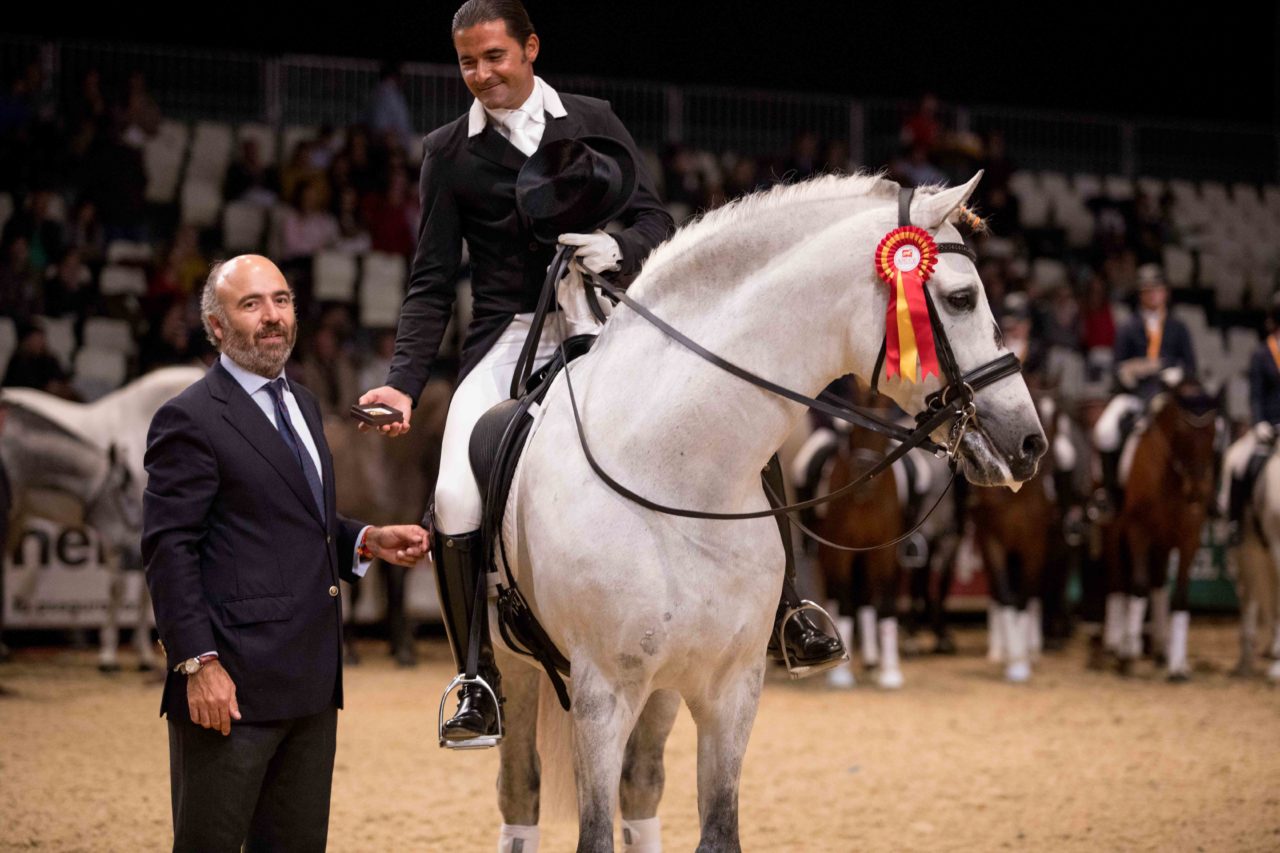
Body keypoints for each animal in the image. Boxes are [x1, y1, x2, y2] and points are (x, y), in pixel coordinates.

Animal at [488, 169, 1049, 845]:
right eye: (962, 298)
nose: (1030, 442)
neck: (675, 477)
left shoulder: (731, 689)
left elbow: (719, 829)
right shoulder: (603, 695)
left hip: (663, 689)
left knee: (640, 785)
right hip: (517, 671)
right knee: (521, 789)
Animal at [1111, 379, 1218, 676]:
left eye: (1214, 431)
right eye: (1181, 429)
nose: (1196, 491)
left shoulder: (1188, 539)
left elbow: (1179, 598)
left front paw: (1178, 665)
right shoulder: (1138, 531)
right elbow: (1138, 587)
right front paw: (1129, 654)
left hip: (1163, 541)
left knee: (1158, 583)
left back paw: (1161, 648)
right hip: (1116, 531)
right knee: (1120, 581)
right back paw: (1120, 645)